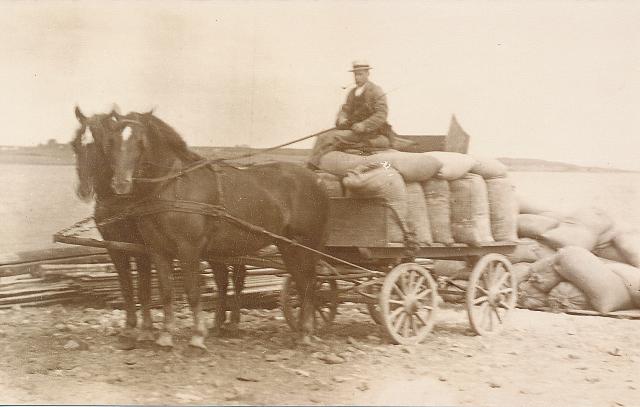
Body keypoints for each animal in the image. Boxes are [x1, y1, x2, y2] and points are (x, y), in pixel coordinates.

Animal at [104, 111, 330, 350]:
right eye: (112, 141)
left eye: (141, 142)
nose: (120, 184)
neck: (174, 187)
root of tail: (318, 180)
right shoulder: (157, 250)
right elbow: (166, 291)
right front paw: (165, 335)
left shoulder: (189, 249)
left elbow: (193, 291)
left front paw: (197, 337)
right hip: (287, 246)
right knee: (303, 281)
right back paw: (304, 331)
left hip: (305, 245)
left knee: (308, 283)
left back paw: (305, 333)